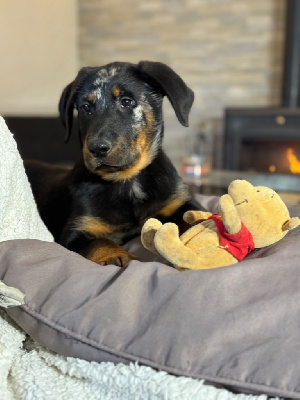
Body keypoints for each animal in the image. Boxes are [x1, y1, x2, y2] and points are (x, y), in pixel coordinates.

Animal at [25, 61, 205, 266]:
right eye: (85, 107)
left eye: (126, 102)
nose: (97, 148)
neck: (127, 182)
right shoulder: (75, 231)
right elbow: (99, 242)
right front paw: (118, 256)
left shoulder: (182, 202)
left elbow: (198, 220)